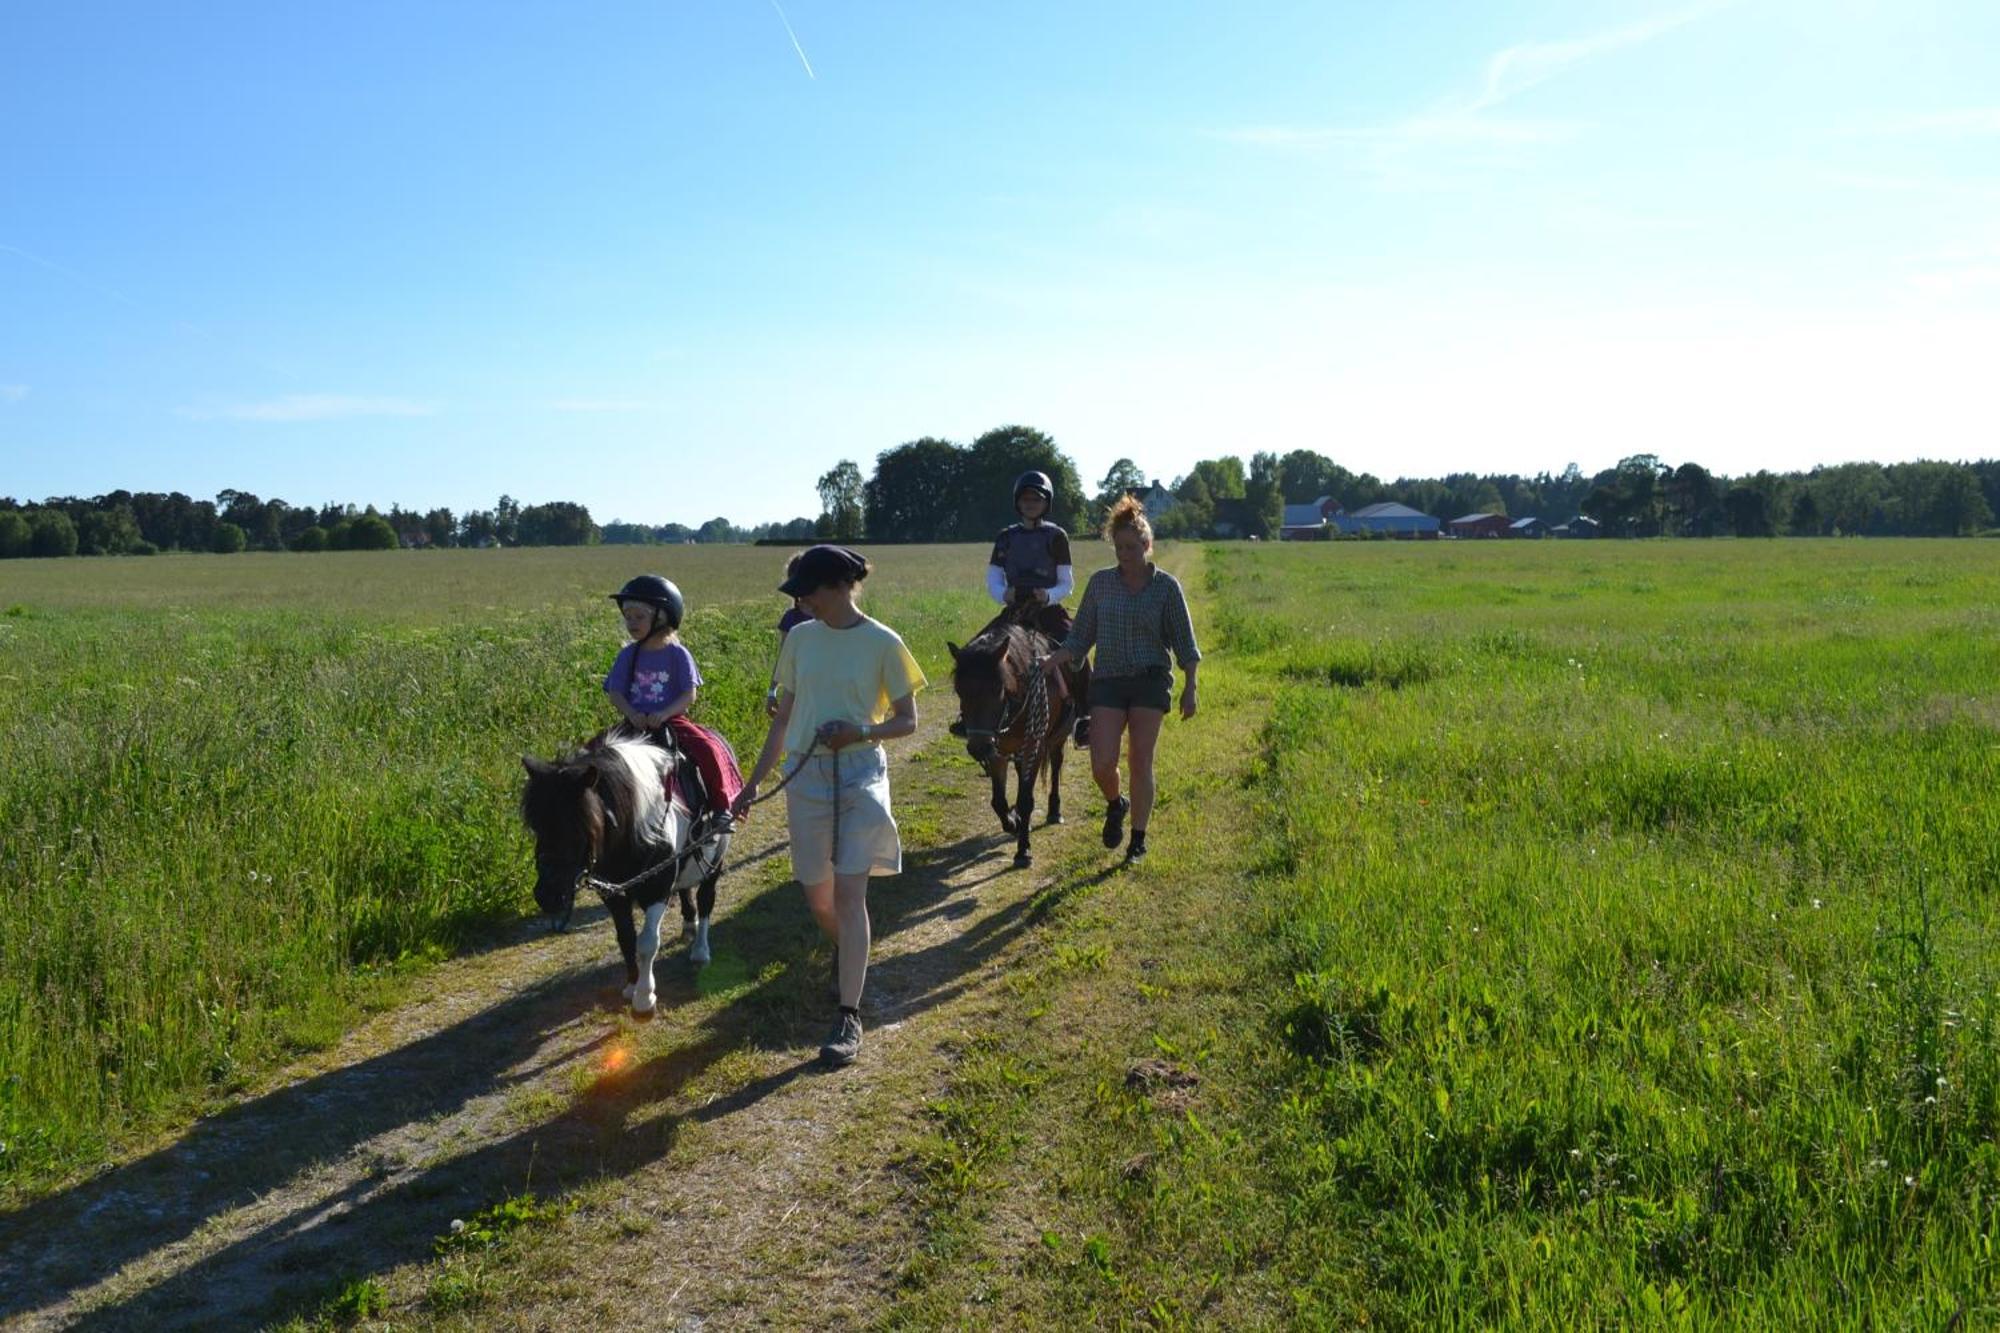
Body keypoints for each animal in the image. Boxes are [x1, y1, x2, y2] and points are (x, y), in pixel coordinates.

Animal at [520, 732, 732, 1012]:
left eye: (577, 825)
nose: (548, 896)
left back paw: (700, 950)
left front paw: (644, 998)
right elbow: (626, 938)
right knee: (686, 891)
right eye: (536, 826)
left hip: (715, 859)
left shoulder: (657, 888)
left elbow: (647, 942)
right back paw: (689, 925)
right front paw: (632, 985)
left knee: (706, 898)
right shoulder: (613, 893)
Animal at [944, 604, 1088, 872]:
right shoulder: (998, 749)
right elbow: (999, 801)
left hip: (1057, 737)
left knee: (1056, 766)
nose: (978, 749)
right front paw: (1013, 821)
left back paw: (1054, 811)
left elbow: (1026, 799)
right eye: (959, 691)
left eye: (998, 689)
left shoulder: (1034, 745)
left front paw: (1023, 850)